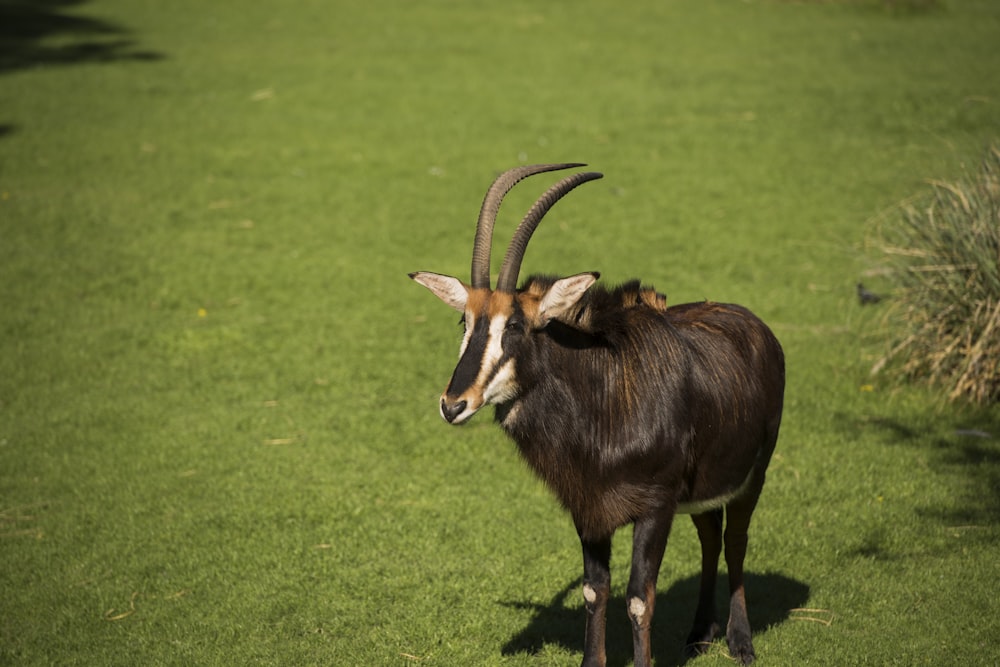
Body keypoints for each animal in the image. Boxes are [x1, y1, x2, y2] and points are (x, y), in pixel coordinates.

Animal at [410, 163, 784, 667]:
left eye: (515, 325)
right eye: (464, 322)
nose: (454, 404)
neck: (600, 399)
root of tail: (757, 326)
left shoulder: (655, 508)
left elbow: (639, 598)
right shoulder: (588, 511)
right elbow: (594, 590)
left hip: (751, 477)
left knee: (734, 541)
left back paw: (740, 641)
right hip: (703, 489)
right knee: (710, 535)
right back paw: (698, 635)